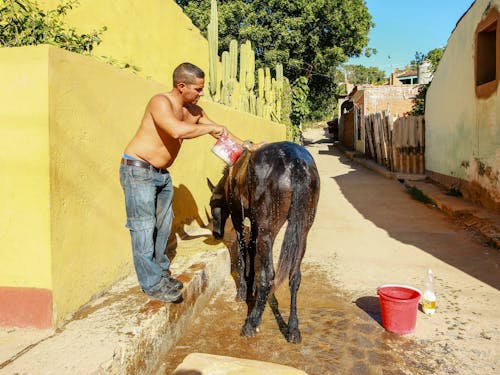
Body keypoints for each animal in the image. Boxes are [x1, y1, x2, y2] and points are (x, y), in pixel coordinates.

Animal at [208, 141, 320, 344]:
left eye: (213, 204)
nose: (217, 233)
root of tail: (296, 163)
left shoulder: (238, 218)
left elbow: (243, 250)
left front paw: (243, 290)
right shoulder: (254, 222)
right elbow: (251, 248)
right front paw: (251, 285)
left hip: (267, 233)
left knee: (268, 276)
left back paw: (251, 323)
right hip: (302, 232)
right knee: (294, 276)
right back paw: (293, 329)